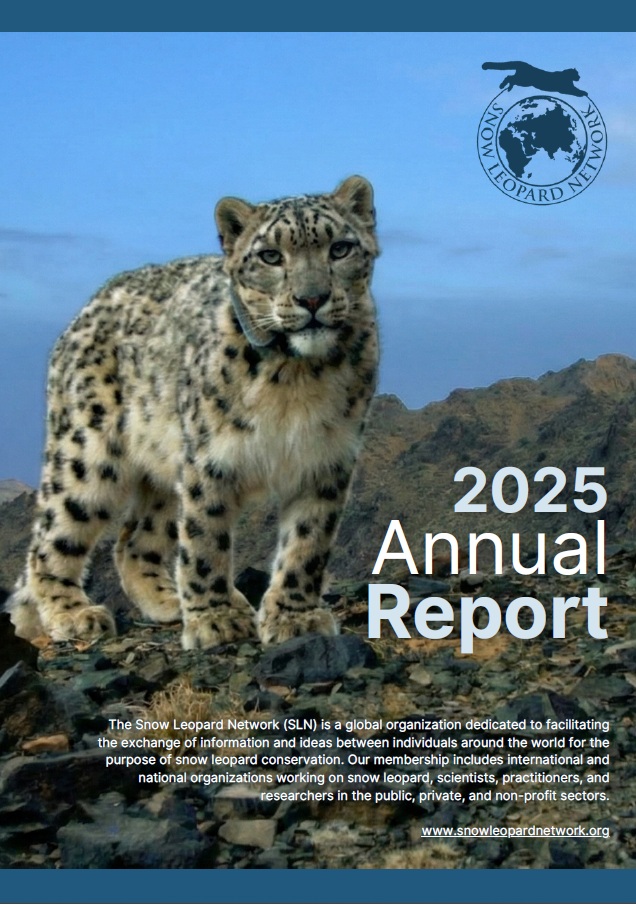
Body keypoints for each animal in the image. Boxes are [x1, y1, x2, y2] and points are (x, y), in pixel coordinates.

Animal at [6, 176, 379, 650]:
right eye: (270, 256)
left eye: (340, 248)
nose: (311, 298)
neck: (296, 378)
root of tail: (82, 314)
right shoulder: (211, 457)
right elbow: (206, 539)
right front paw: (216, 618)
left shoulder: (326, 459)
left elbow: (308, 543)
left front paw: (295, 616)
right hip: (86, 455)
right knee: (51, 538)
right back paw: (73, 613)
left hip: (165, 466)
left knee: (133, 540)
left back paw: (167, 602)